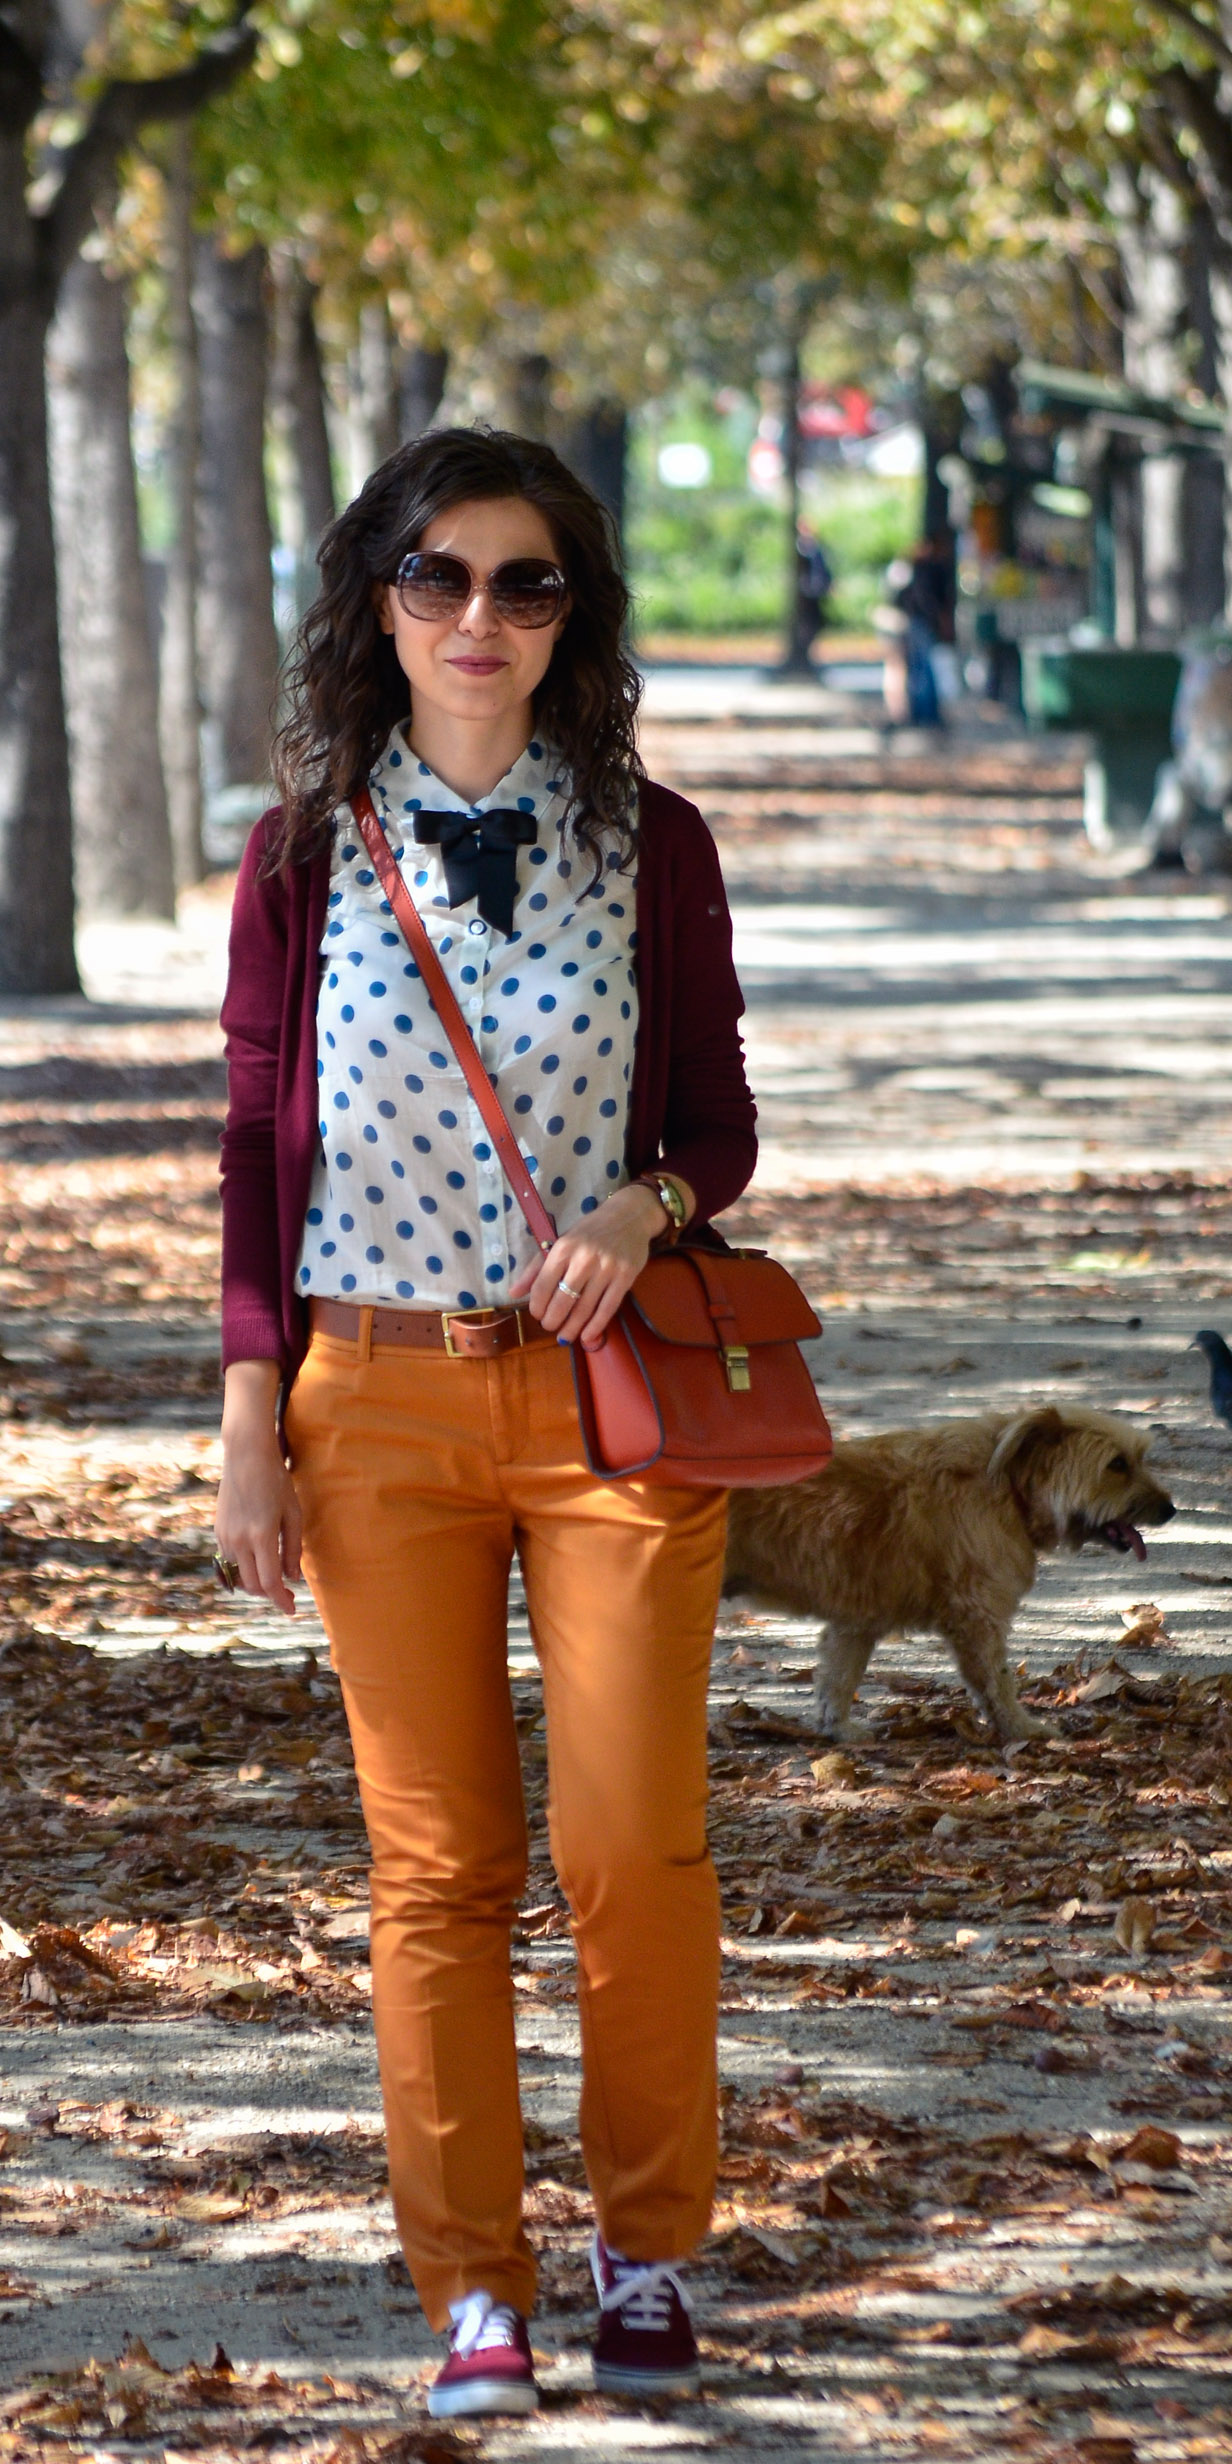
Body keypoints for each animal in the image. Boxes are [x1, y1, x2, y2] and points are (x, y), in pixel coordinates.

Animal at [719, 1419, 1172, 1744]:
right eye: (1117, 1463)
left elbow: (837, 1680)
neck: (1009, 1484)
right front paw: (1021, 1730)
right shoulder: (978, 1618)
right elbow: (996, 1682)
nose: (1170, 1509)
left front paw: (838, 1729)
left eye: (1139, 1458)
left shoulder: (855, 1624)